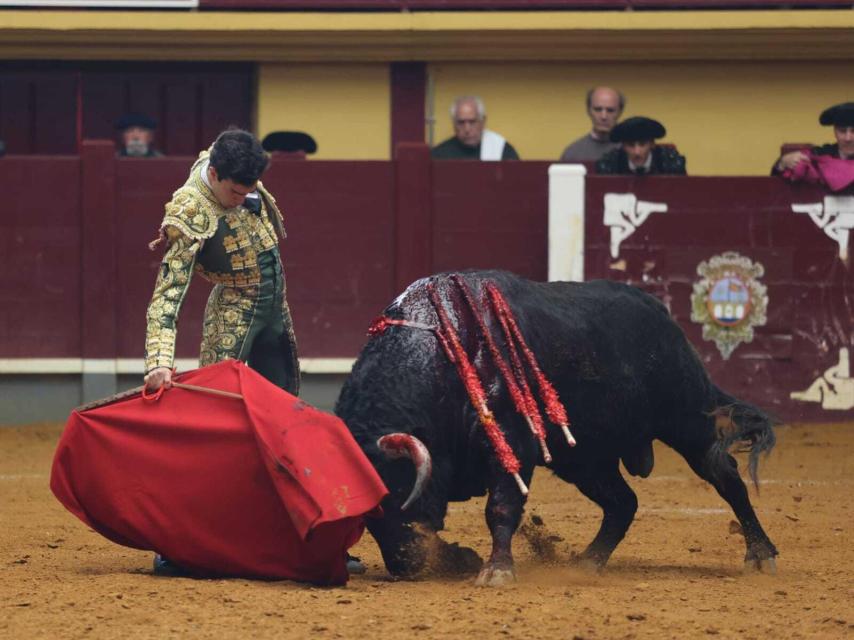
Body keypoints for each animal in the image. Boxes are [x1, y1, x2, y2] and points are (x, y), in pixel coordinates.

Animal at [336, 272, 784, 584]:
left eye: (397, 494)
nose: (406, 566)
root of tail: (663, 316)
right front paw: (462, 558)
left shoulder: (512, 447)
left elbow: (501, 507)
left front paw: (496, 570)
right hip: (584, 459)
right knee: (623, 502)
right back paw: (587, 562)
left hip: (687, 420)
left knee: (726, 476)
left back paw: (760, 555)